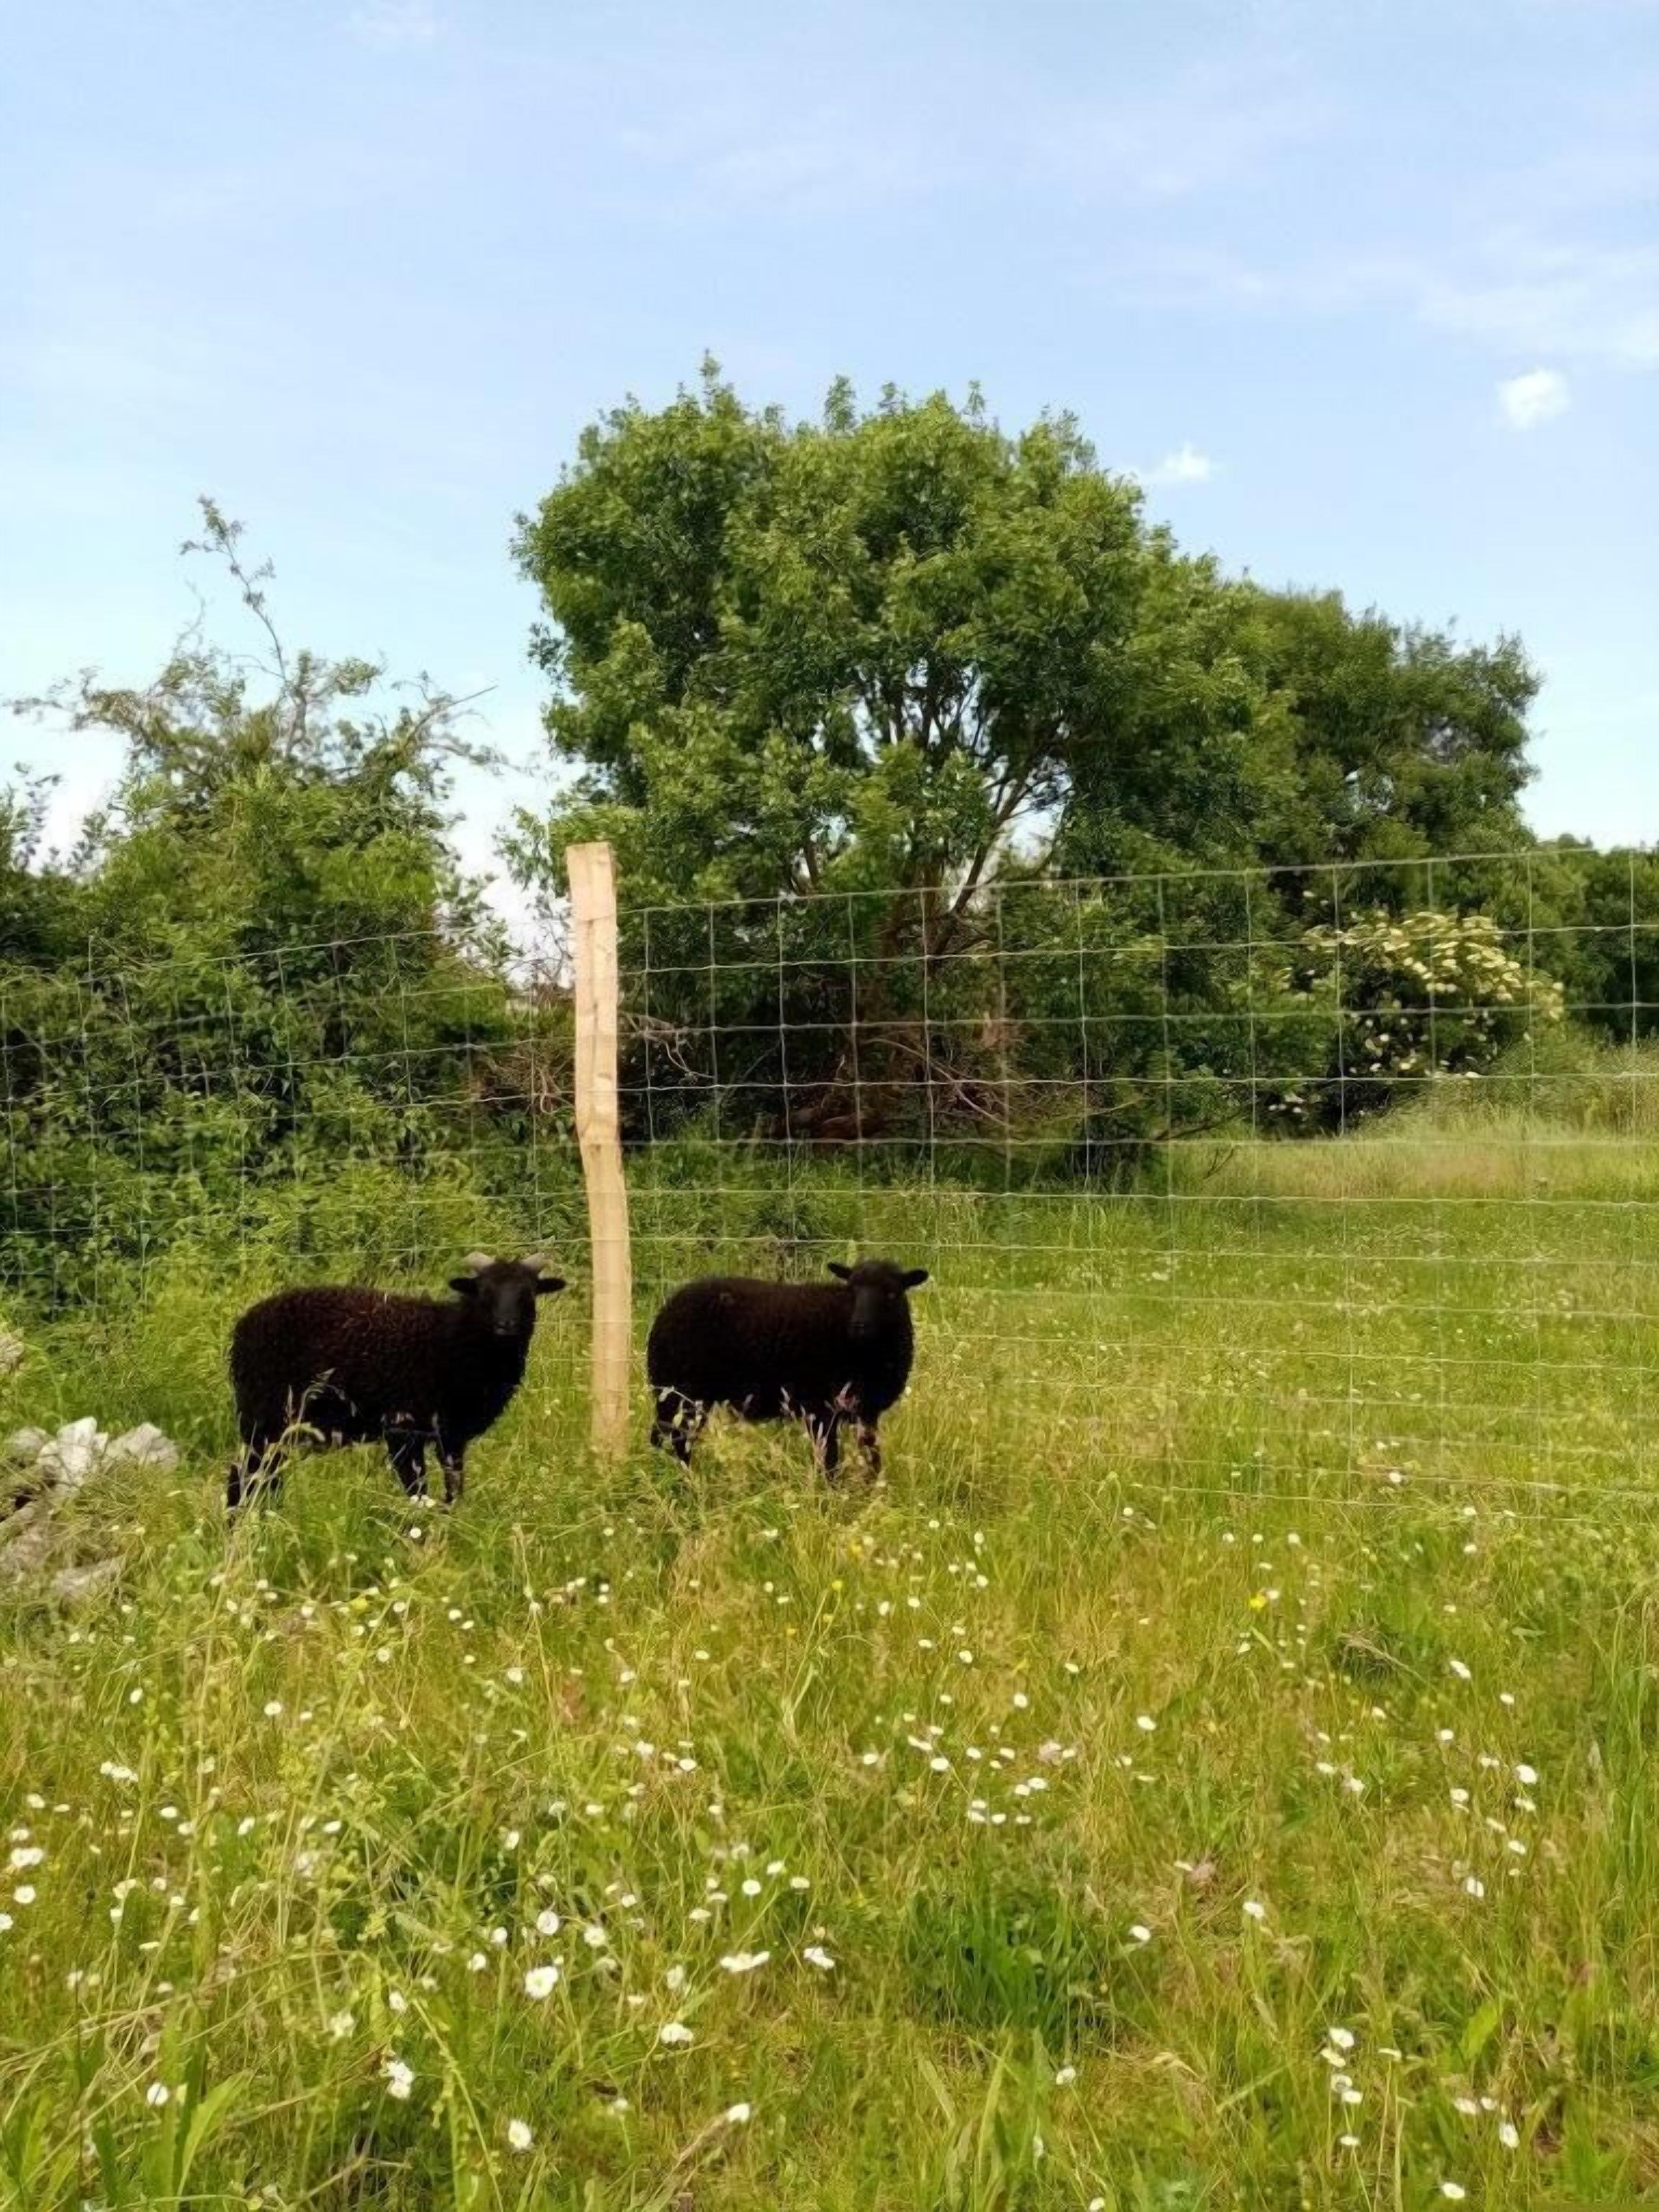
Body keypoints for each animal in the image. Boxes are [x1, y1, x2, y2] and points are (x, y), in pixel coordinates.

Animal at [225, 1252, 565, 1511]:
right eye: (485, 1292)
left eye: (528, 1293)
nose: (506, 1325)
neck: (453, 1339)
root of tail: (242, 1329)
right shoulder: (402, 1430)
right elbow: (417, 1492)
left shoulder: (452, 1436)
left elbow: (454, 1488)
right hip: (265, 1419)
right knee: (244, 1476)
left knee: (264, 1476)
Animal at [646, 1257, 929, 1478]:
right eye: (852, 1291)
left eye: (892, 1293)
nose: (859, 1325)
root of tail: (666, 1311)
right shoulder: (819, 1409)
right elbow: (830, 1461)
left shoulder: (867, 1413)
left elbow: (872, 1457)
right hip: (679, 1393)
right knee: (674, 1440)